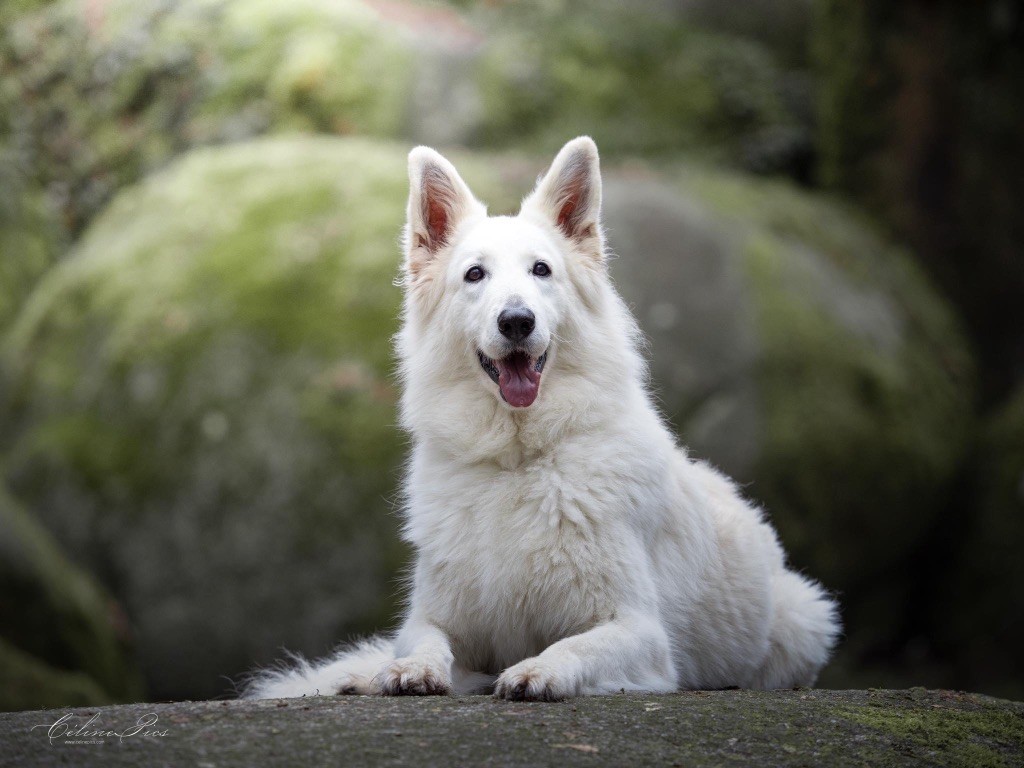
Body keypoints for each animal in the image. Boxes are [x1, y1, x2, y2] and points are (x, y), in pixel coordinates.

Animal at [247, 137, 839, 704]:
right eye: (475, 275)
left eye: (541, 270)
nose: (517, 321)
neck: (517, 459)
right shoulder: (440, 619)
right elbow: (423, 643)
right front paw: (409, 671)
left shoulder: (638, 631)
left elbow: (574, 646)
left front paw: (538, 671)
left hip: (805, 617)